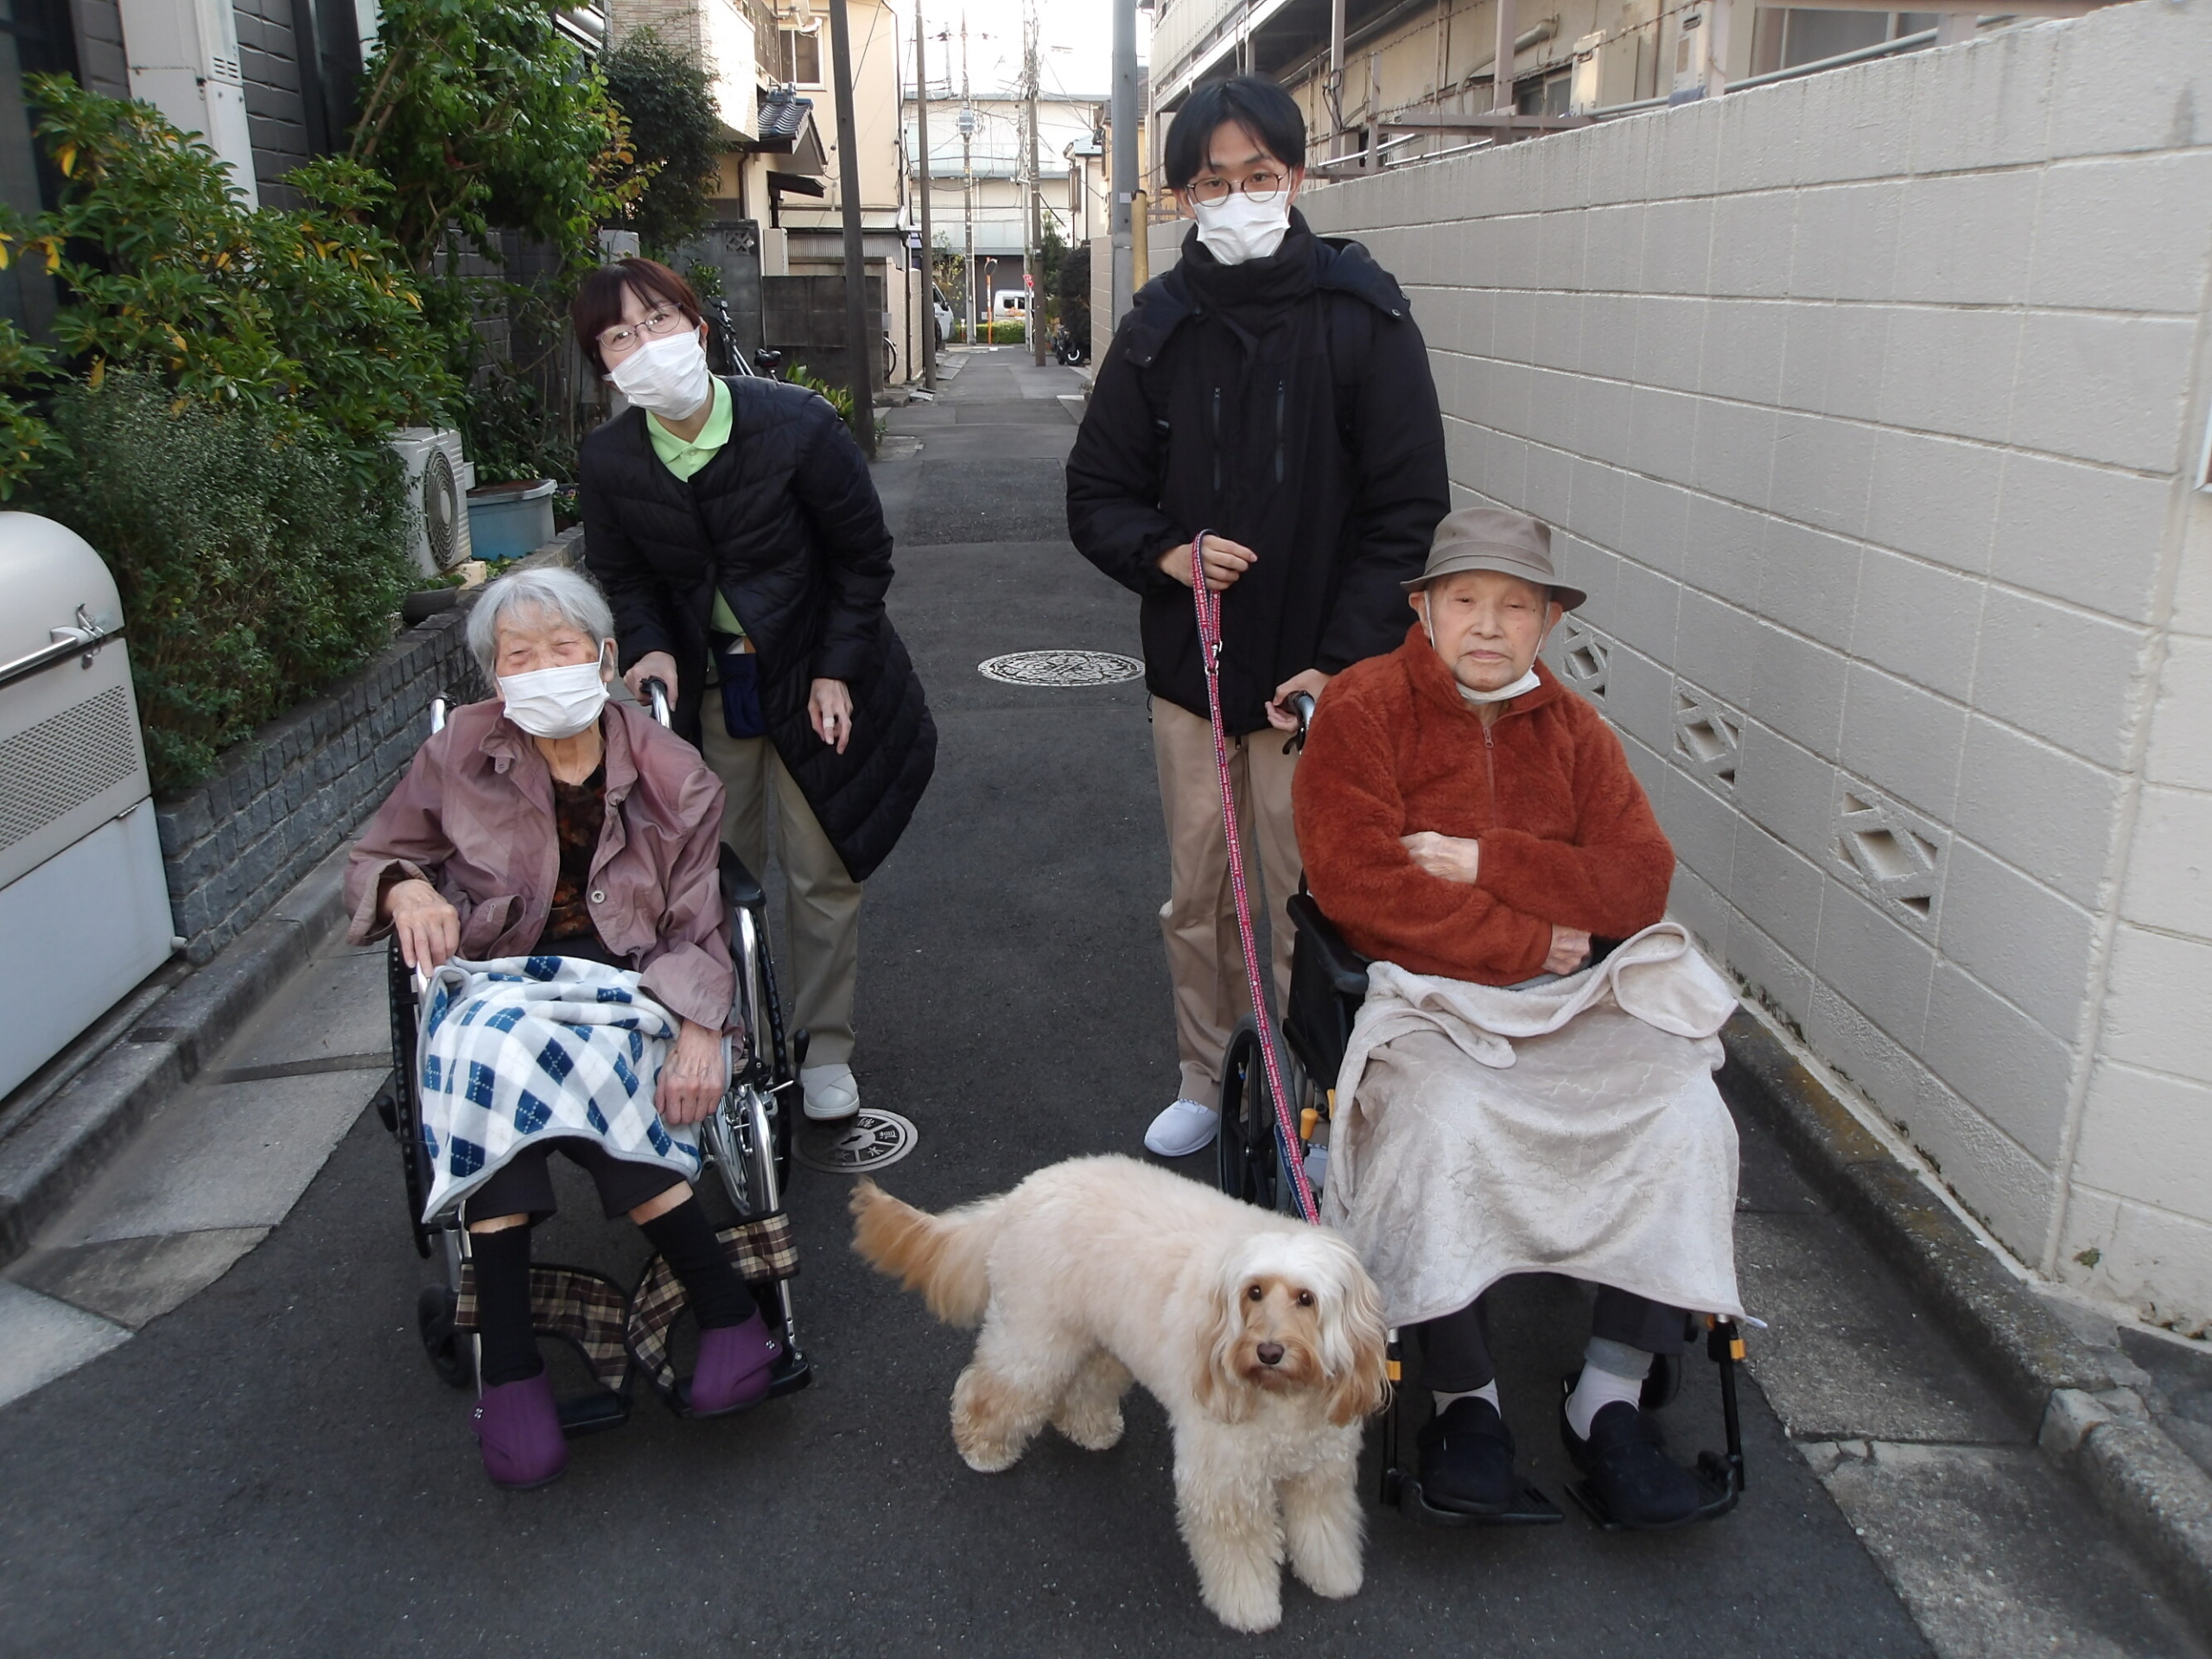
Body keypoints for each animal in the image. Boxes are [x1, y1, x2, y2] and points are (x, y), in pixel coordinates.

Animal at [844, 1159, 1380, 1637]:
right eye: (1254, 1292)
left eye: (1306, 1299)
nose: (1268, 1352)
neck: (1284, 1398)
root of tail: (1023, 1193)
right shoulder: (1224, 1481)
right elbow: (1239, 1552)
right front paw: (1250, 1609)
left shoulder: (1322, 1472)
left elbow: (1326, 1528)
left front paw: (1335, 1578)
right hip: (1036, 1338)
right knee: (993, 1389)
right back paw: (983, 1449)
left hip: (1102, 1340)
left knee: (1084, 1387)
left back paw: (1091, 1430)